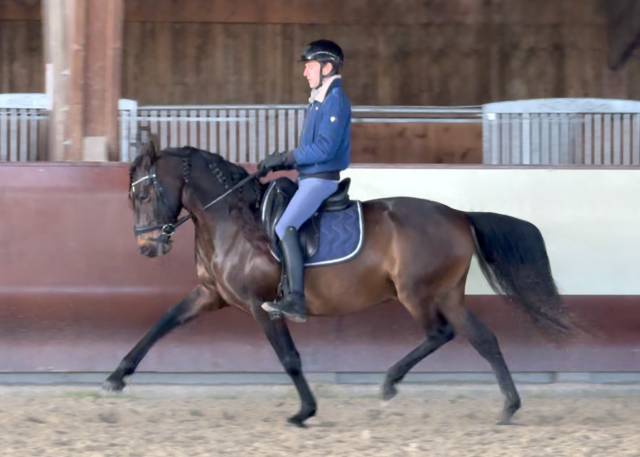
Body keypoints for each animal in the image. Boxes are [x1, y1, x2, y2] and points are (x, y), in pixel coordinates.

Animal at [103, 144, 574, 426]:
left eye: (143, 196)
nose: (147, 246)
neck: (232, 221)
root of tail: (459, 214)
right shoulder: (209, 295)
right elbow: (162, 323)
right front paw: (116, 377)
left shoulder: (260, 305)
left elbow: (289, 358)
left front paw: (304, 411)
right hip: (446, 293)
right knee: (482, 338)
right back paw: (508, 406)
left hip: (416, 293)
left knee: (440, 333)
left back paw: (390, 382)